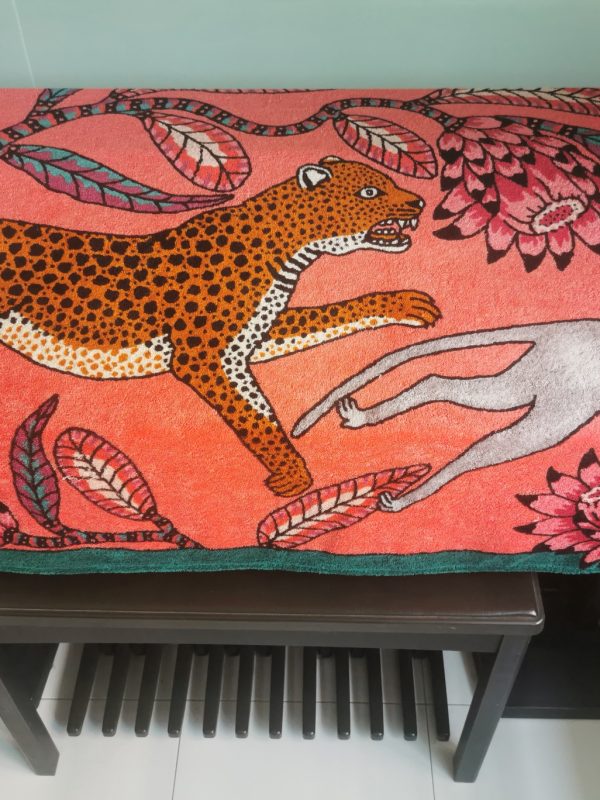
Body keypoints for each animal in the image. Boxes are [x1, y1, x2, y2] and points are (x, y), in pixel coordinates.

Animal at [0, 155, 441, 497]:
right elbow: (257, 416)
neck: (284, 243)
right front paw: (292, 471)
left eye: (389, 182)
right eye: (370, 192)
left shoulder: (253, 337)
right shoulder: (204, 359)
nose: (419, 201)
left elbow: (330, 315)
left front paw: (401, 302)